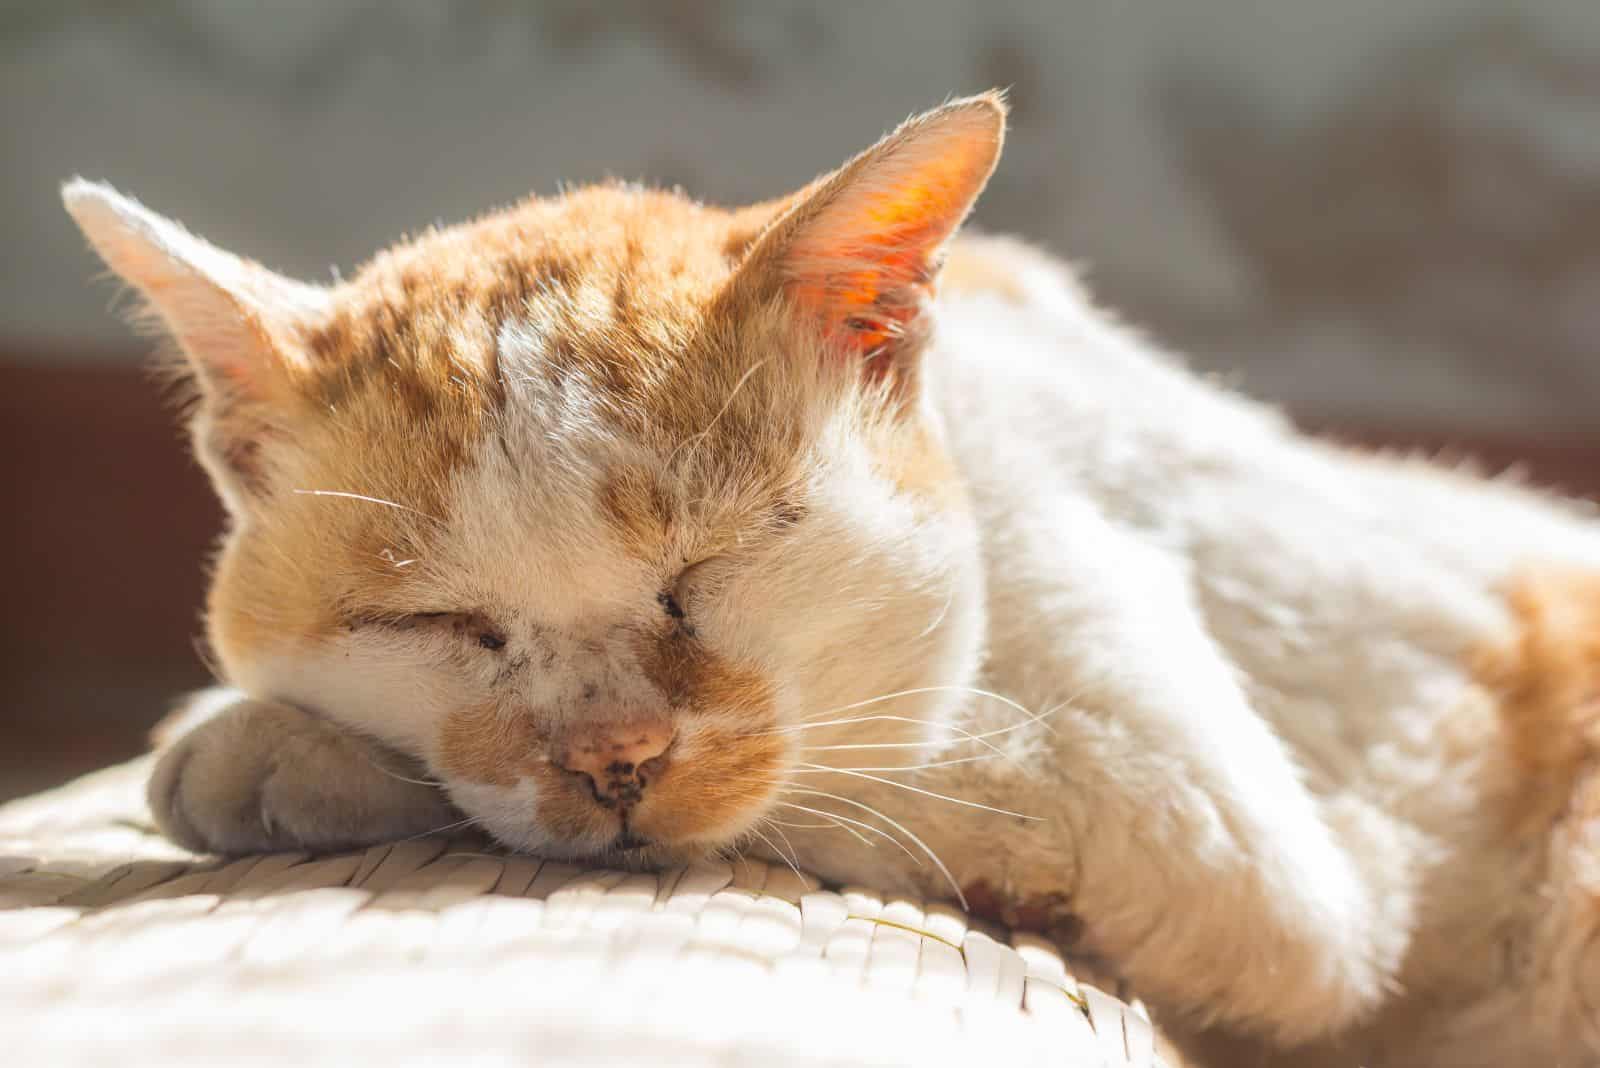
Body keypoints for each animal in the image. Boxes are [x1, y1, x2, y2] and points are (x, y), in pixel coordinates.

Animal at [56, 93, 1600, 1068]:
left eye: (706, 572)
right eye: (441, 624)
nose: (613, 756)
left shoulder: (1241, 854)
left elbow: (840, 779)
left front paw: (252, 748)